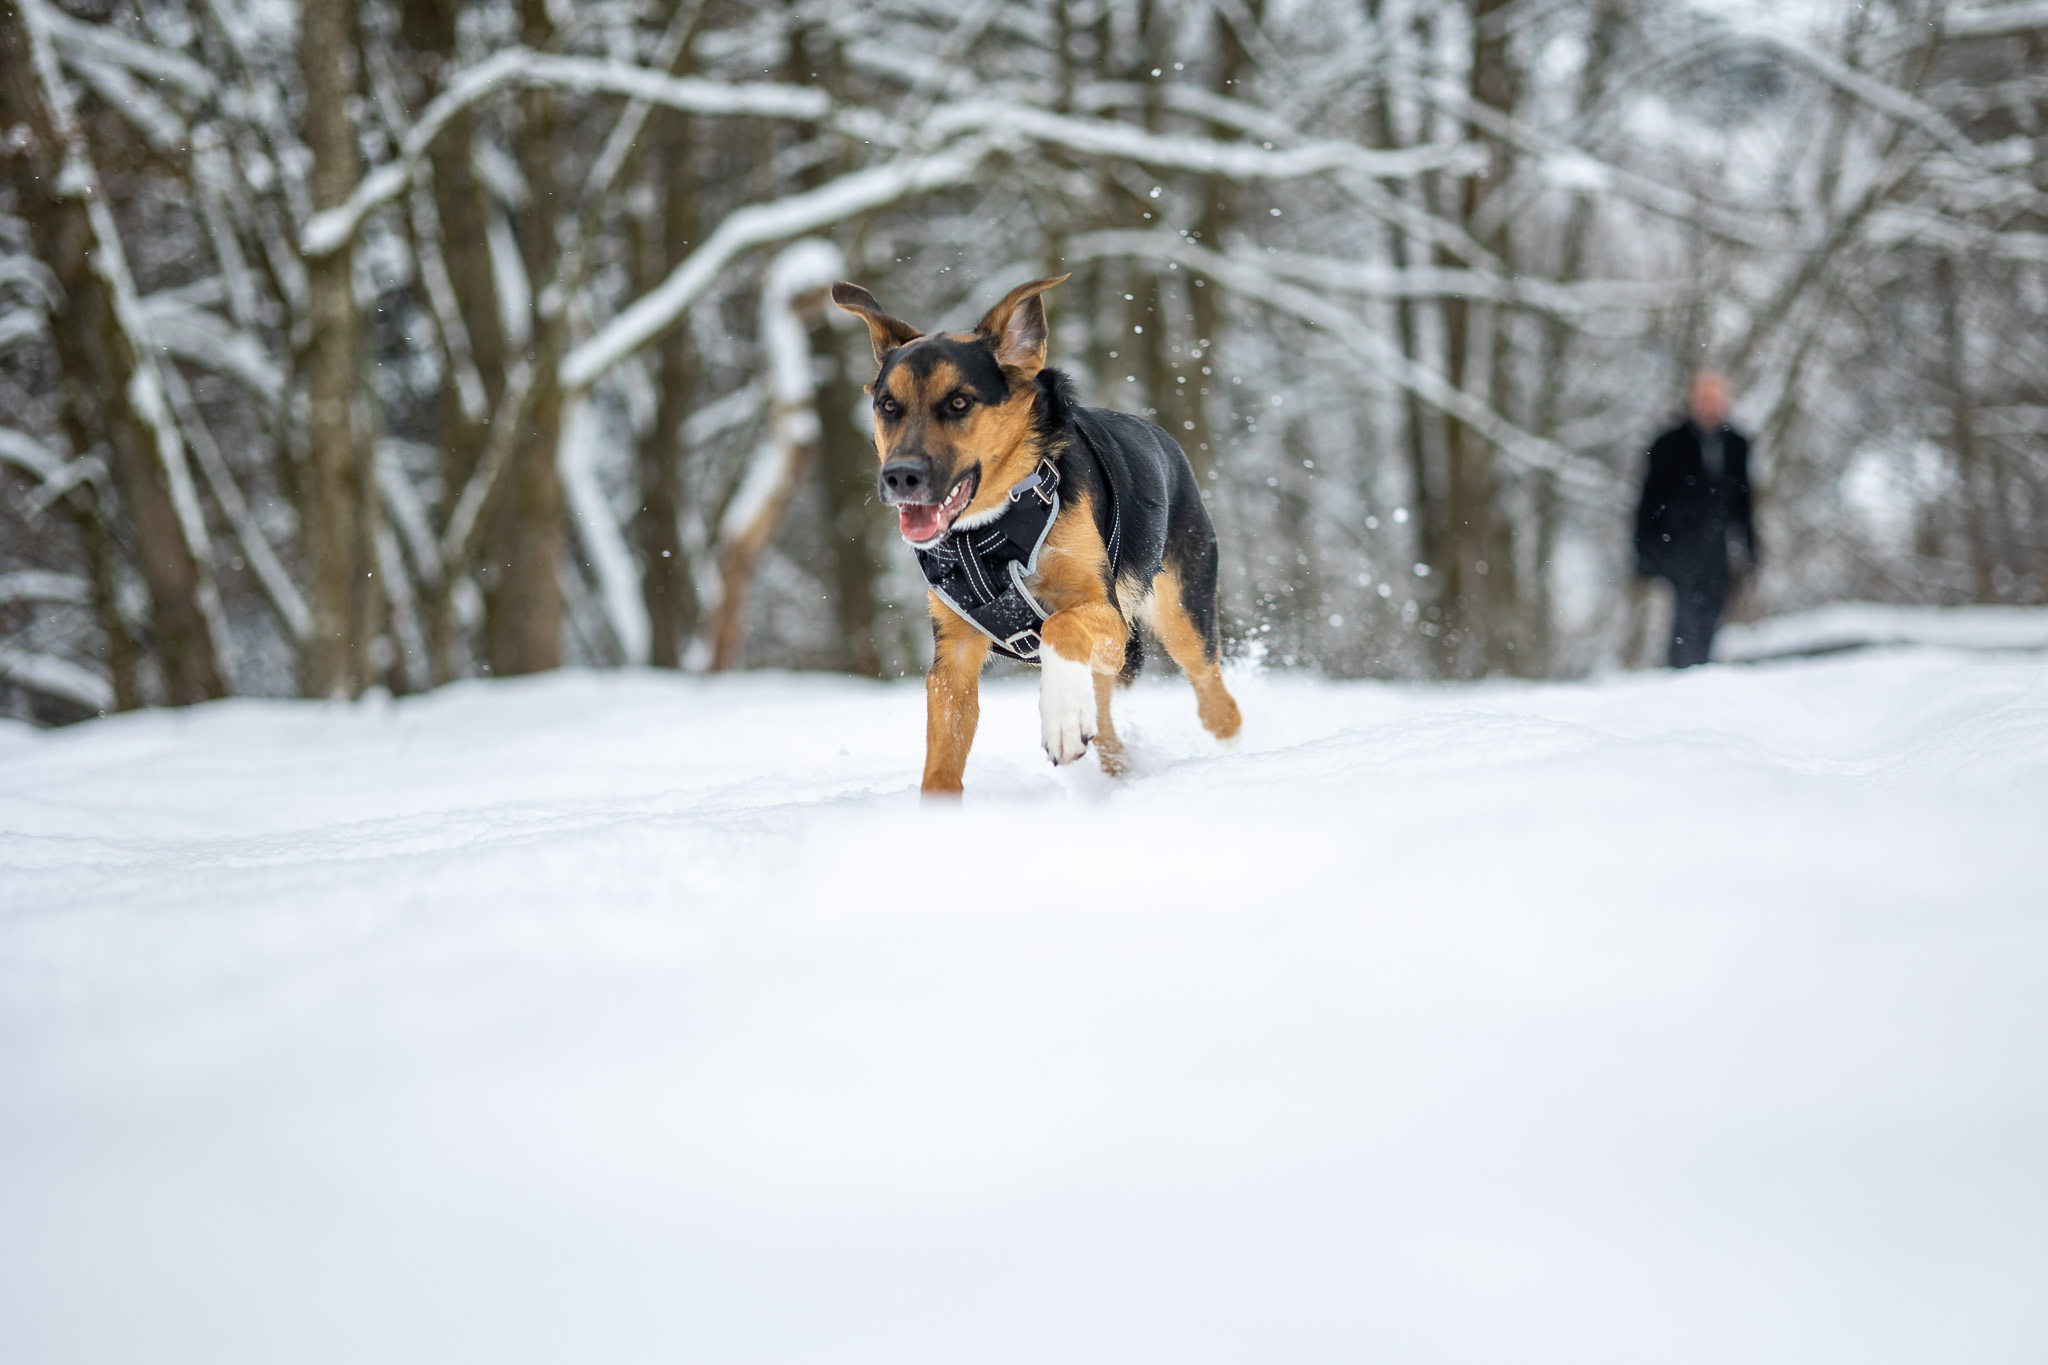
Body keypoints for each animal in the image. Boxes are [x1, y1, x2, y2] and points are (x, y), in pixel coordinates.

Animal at [831, 272, 1245, 794]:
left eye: (959, 402)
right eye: (888, 406)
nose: (899, 477)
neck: (990, 530)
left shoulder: (1104, 610)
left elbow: (1058, 625)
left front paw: (1062, 720)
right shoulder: (954, 656)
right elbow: (942, 761)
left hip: (1181, 614)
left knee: (1214, 697)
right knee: (1107, 716)